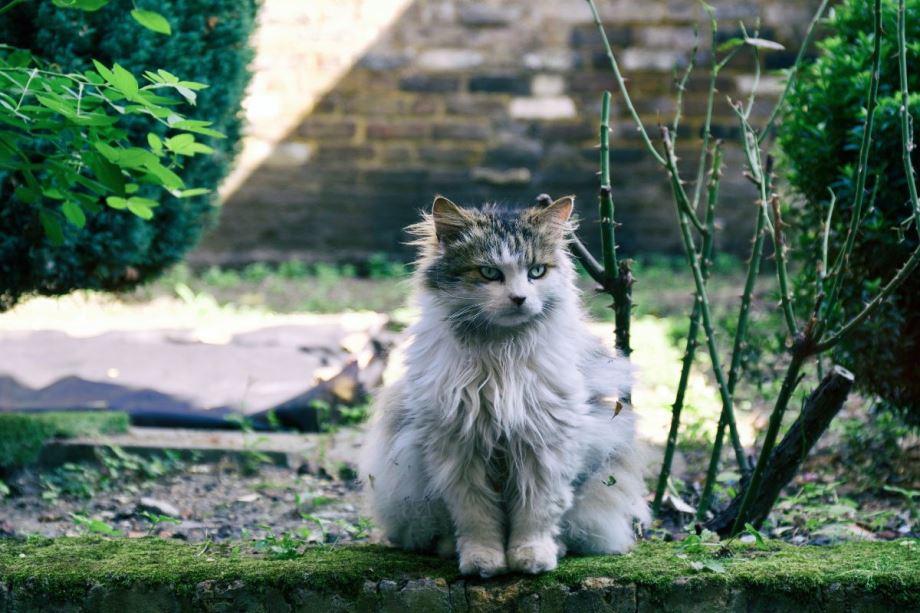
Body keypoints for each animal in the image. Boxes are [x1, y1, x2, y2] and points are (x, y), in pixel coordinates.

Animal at [356, 195, 652, 572]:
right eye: (488, 272)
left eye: (537, 271)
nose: (519, 298)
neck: (500, 358)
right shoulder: (460, 449)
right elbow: (476, 516)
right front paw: (483, 561)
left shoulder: (543, 445)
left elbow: (536, 512)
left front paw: (531, 558)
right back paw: (450, 548)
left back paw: (557, 549)